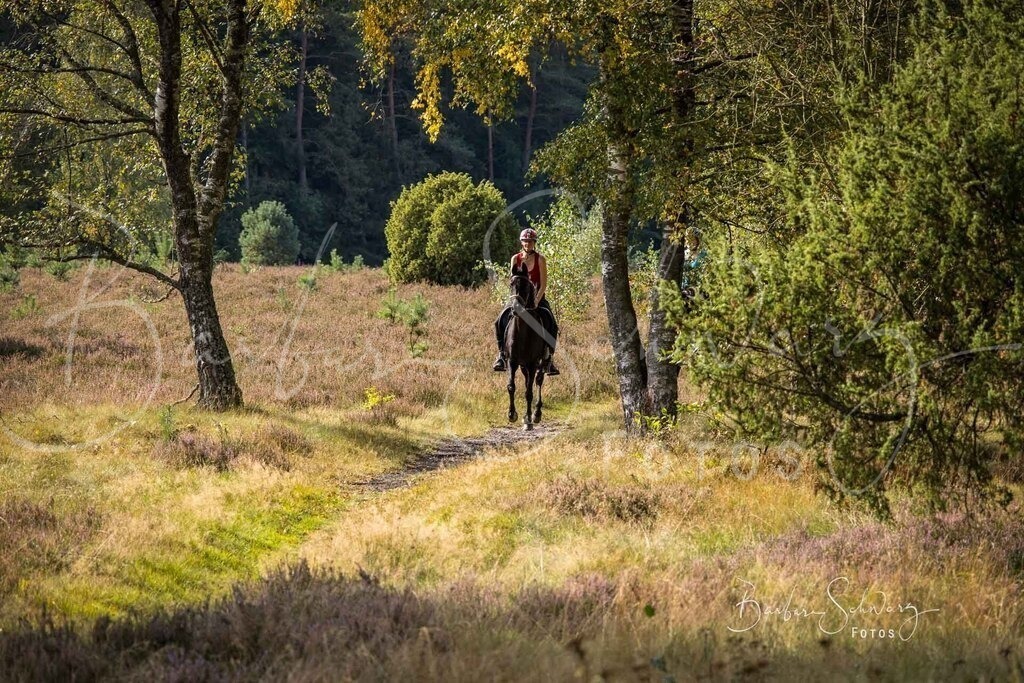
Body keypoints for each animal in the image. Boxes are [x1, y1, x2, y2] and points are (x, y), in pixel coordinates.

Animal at [503, 263, 551, 430]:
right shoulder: (512, 361)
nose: (515, 308)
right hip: (523, 365)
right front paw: (512, 414)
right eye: (510, 284)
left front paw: (529, 419)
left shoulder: (532, 363)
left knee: (538, 381)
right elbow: (511, 386)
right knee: (527, 382)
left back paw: (536, 414)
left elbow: (529, 392)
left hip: (541, 362)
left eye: (525, 285)